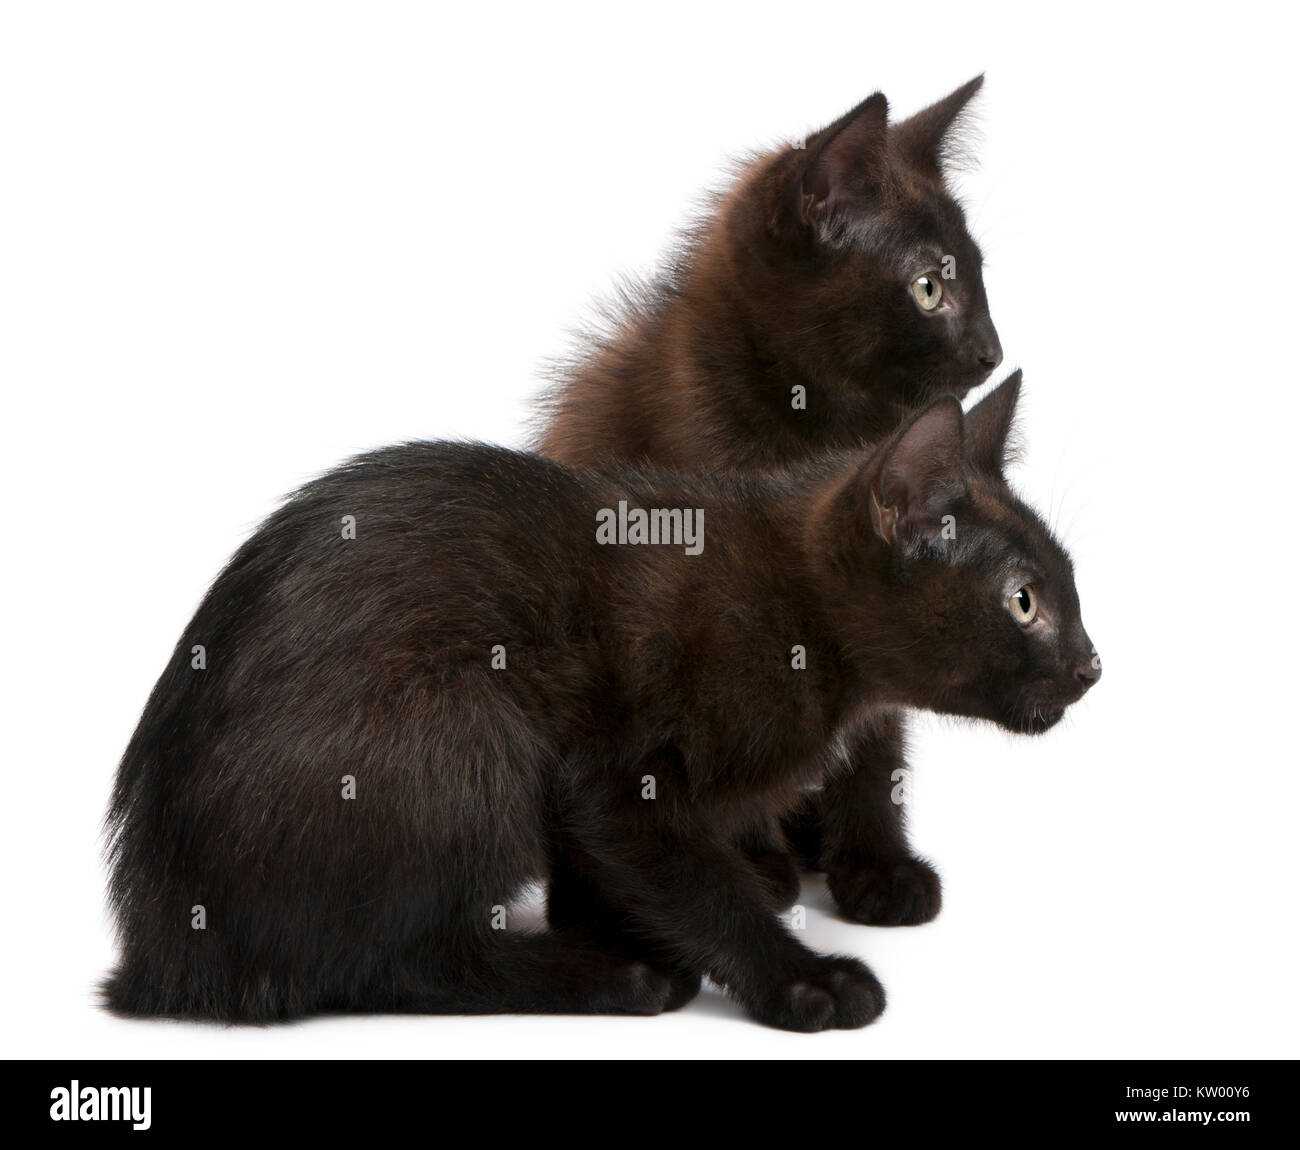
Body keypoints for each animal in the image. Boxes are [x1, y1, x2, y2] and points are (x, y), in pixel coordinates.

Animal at [104, 371, 1097, 1029]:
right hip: (466, 720)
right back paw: (612, 978)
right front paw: (799, 979)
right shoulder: (617, 780)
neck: (800, 612)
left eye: (1067, 590)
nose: (1093, 665)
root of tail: (166, 951)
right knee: (393, 964)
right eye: (1024, 603)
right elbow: (702, 885)